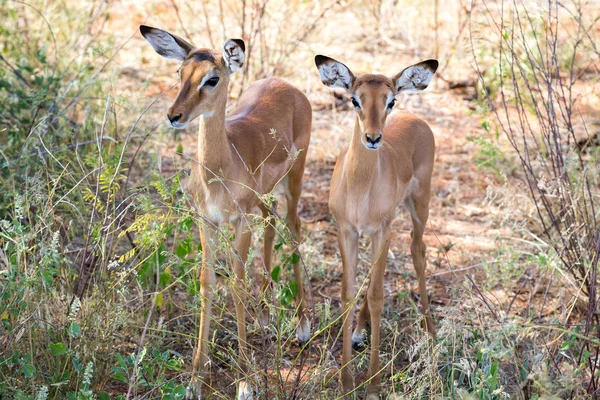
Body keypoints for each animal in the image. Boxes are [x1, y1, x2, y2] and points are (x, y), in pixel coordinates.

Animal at [138, 25, 312, 400]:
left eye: (212, 78)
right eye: (180, 72)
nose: (174, 116)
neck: (222, 168)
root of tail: (287, 85)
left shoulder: (240, 222)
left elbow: (237, 284)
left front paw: (246, 380)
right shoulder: (208, 221)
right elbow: (207, 282)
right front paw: (194, 379)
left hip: (294, 180)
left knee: (293, 228)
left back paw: (303, 326)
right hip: (265, 197)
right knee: (272, 220)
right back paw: (265, 317)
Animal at [314, 55, 440, 396]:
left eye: (390, 100)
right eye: (355, 99)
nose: (372, 138)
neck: (359, 189)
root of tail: (416, 119)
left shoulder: (381, 230)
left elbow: (376, 296)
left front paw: (372, 384)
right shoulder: (347, 231)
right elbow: (348, 292)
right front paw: (346, 382)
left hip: (418, 206)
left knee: (418, 252)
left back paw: (431, 332)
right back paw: (360, 332)